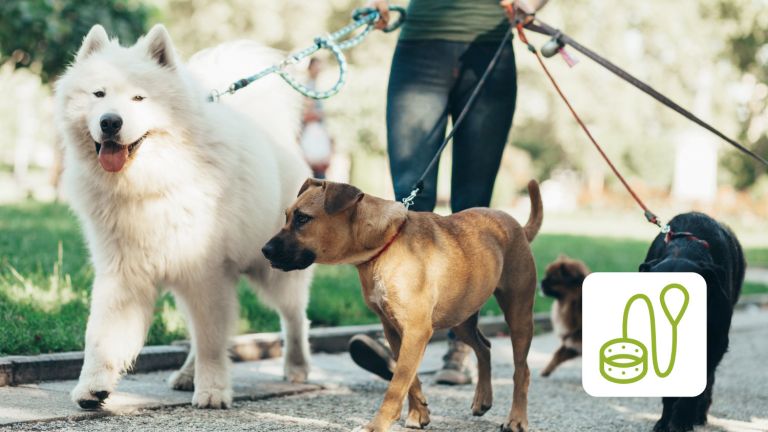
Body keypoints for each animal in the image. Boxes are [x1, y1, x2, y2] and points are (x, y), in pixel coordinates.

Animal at [54, 23, 314, 408]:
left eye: (139, 99)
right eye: (98, 94)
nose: (110, 121)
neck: (150, 183)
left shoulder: (205, 272)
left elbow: (211, 342)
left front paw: (212, 391)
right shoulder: (123, 273)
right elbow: (102, 336)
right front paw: (92, 387)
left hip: (273, 270)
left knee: (294, 318)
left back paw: (296, 366)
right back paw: (187, 374)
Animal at [260, 178, 544, 432]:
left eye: (303, 219)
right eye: (287, 216)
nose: (264, 250)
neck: (385, 245)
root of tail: (518, 227)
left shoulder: (416, 331)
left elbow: (396, 386)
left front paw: (377, 425)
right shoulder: (395, 330)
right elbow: (409, 378)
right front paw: (419, 412)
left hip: (518, 315)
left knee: (522, 371)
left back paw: (516, 419)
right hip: (461, 317)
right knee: (484, 348)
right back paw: (482, 399)